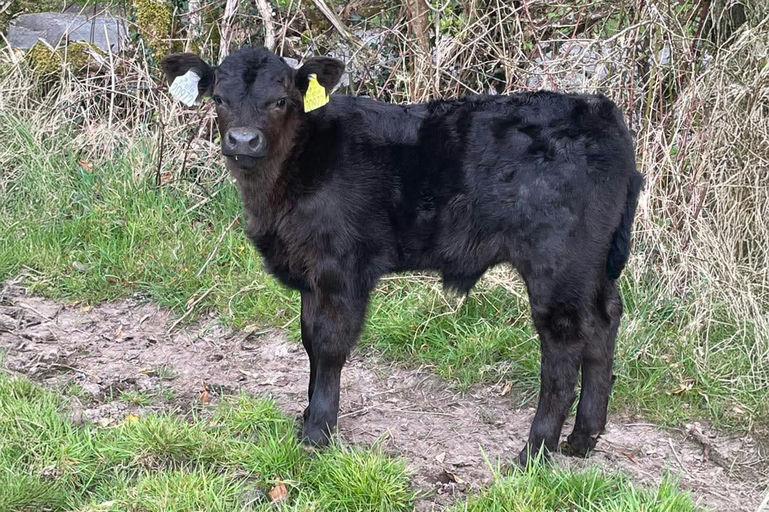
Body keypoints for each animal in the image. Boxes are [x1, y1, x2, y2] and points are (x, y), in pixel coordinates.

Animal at [161, 46, 643, 466]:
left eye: (281, 100)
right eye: (218, 98)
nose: (243, 140)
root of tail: (599, 109)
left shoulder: (341, 269)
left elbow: (329, 344)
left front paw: (318, 432)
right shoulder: (311, 272)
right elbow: (308, 340)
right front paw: (307, 416)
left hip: (557, 266)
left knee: (563, 348)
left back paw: (534, 453)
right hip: (593, 267)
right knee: (604, 321)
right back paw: (583, 438)